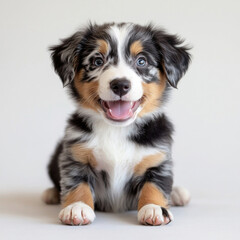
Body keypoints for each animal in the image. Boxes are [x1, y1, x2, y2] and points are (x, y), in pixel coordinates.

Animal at [42, 21, 191, 226]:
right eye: (97, 61)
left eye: (142, 61)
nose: (120, 85)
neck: (116, 130)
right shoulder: (75, 155)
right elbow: (76, 182)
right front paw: (77, 207)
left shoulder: (157, 157)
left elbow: (155, 184)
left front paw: (155, 208)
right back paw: (51, 194)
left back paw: (177, 193)